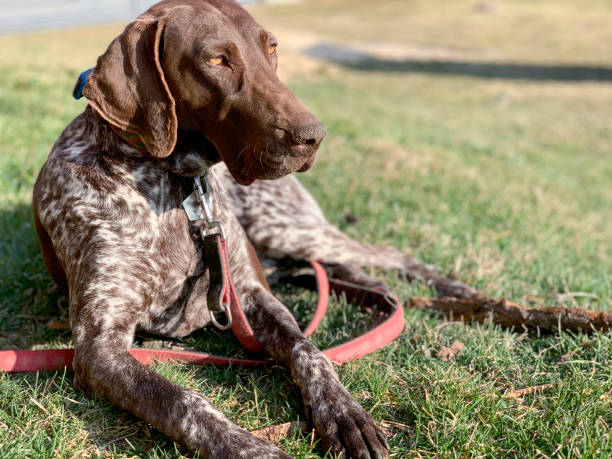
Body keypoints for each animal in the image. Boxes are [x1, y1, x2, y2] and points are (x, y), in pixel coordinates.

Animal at [31, 0, 476, 456]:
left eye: (272, 49)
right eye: (216, 60)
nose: (313, 136)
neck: (177, 189)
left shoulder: (253, 293)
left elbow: (308, 350)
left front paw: (344, 411)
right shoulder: (98, 346)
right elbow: (184, 402)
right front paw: (250, 447)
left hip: (285, 229)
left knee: (388, 256)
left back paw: (473, 298)